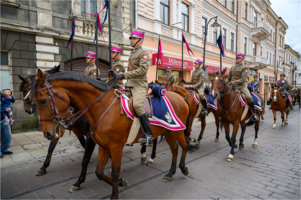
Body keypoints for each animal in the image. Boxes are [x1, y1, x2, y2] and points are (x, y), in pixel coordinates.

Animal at [31, 69, 189, 199]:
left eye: (42, 101)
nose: (47, 133)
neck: (103, 107)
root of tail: (181, 98)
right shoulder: (103, 145)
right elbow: (99, 172)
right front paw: (121, 182)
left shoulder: (115, 146)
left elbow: (113, 172)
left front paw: (114, 193)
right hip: (168, 132)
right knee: (175, 149)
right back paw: (170, 173)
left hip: (177, 131)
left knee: (184, 146)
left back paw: (183, 168)